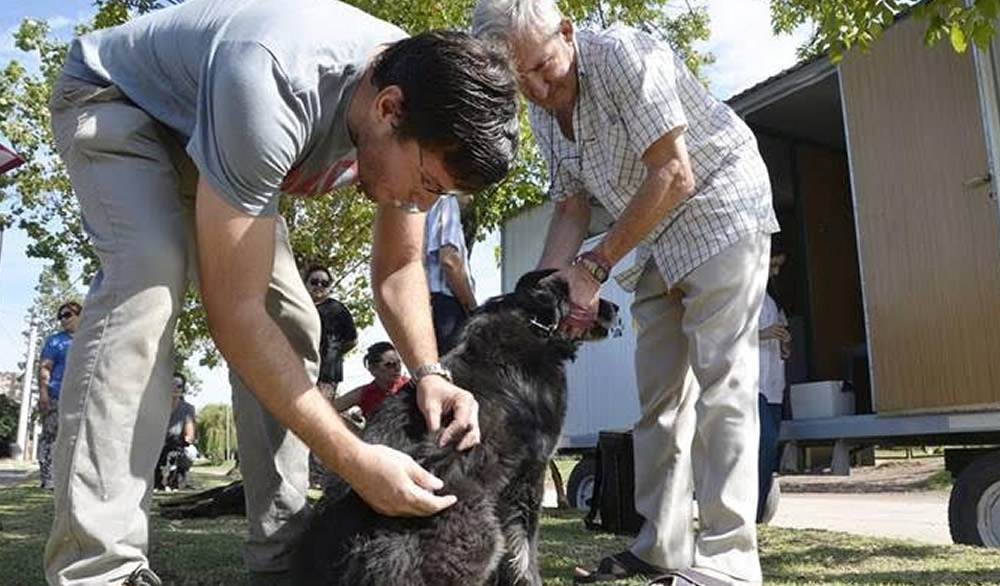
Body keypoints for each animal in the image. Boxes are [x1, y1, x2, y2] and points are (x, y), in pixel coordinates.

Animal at [292, 270, 616, 584]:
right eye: (593, 294)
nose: (615, 308)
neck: (536, 324)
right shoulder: (529, 474)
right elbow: (524, 550)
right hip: (475, 526)